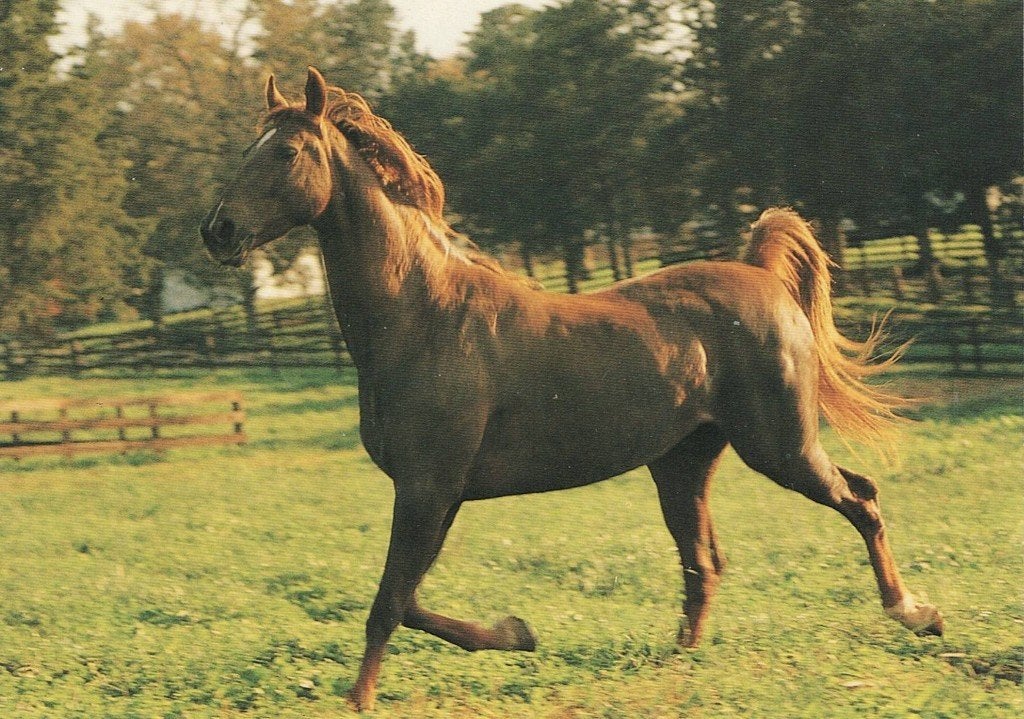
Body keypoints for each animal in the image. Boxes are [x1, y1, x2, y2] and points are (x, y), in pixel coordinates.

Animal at [200, 67, 943, 712]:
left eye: (287, 151)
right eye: (248, 149)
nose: (217, 231)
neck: (422, 315)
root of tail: (760, 274)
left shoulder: (427, 487)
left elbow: (388, 602)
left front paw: (361, 697)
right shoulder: (437, 493)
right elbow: (406, 599)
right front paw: (516, 633)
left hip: (781, 447)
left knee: (860, 500)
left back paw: (915, 613)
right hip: (683, 462)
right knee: (703, 562)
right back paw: (679, 660)